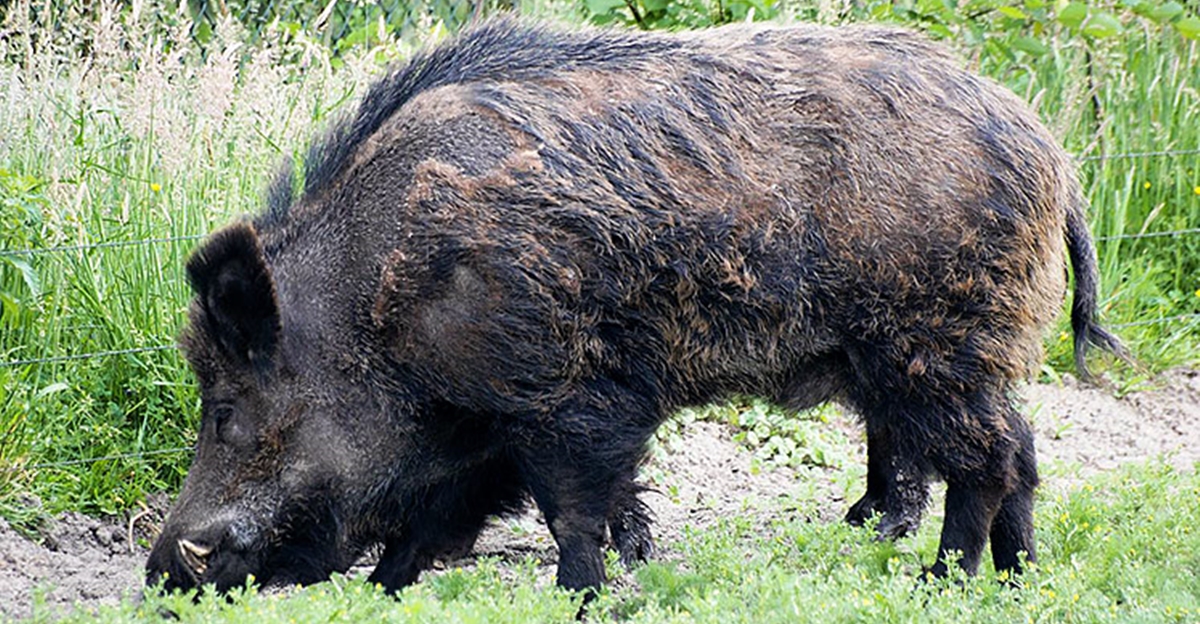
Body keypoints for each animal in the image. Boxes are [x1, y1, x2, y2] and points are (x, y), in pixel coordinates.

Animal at [146, 16, 1126, 597]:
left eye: (225, 410)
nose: (161, 572)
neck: (381, 302)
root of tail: (1052, 155)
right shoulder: (495, 422)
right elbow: (475, 510)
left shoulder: (568, 395)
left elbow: (571, 509)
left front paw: (580, 593)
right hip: (960, 355)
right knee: (1023, 448)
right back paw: (1018, 580)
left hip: (934, 344)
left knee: (991, 458)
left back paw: (942, 582)